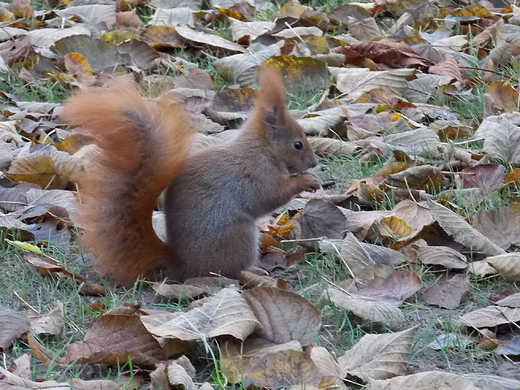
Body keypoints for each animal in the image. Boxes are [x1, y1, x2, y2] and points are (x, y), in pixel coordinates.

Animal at [61, 67, 320, 286]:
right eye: (297, 144)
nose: (314, 163)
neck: (262, 148)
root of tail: (181, 265)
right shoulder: (255, 174)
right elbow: (270, 196)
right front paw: (307, 181)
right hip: (238, 237)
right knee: (227, 272)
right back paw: (255, 273)